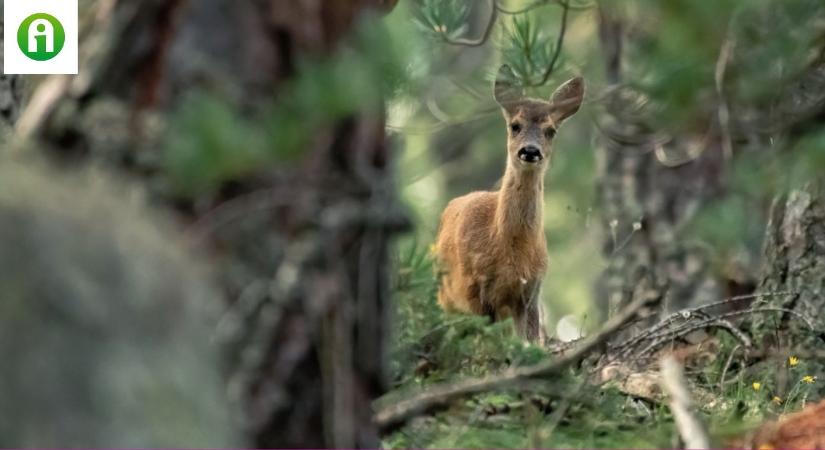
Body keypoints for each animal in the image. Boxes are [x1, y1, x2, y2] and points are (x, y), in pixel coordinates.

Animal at [432, 64, 584, 344]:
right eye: (515, 125)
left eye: (551, 130)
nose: (530, 151)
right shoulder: (474, 288)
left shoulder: (532, 290)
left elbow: (531, 342)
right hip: (447, 298)